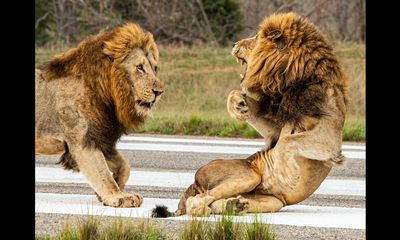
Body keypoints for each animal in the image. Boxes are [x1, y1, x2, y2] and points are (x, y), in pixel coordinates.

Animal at [35, 23, 164, 209]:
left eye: (155, 68)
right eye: (140, 67)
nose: (159, 92)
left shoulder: (101, 138)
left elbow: (124, 166)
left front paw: (113, 189)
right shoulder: (82, 141)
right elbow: (102, 173)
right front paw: (119, 197)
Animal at [152, 11, 348, 218]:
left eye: (255, 38)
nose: (234, 43)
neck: (293, 81)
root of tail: (193, 183)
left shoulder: (330, 140)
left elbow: (288, 141)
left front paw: (288, 173)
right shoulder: (276, 132)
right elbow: (277, 133)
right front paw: (239, 105)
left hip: (272, 199)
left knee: (208, 202)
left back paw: (235, 205)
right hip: (249, 175)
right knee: (197, 201)